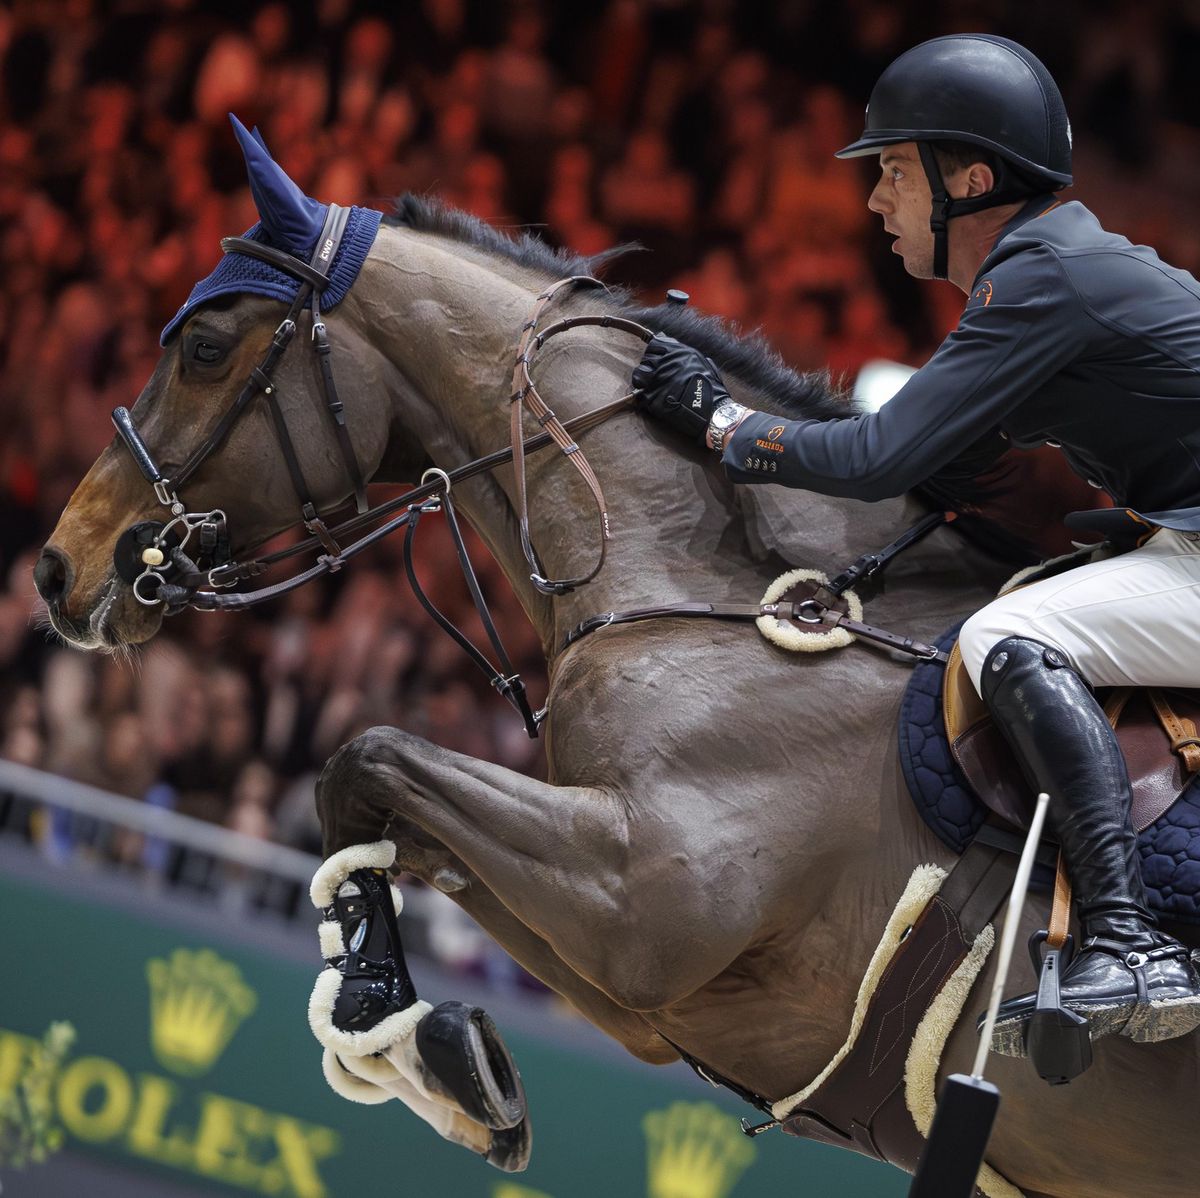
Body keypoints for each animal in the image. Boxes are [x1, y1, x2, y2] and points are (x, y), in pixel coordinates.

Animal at [35, 153, 1200, 1196]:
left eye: (205, 348)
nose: (59, 569)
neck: (728, 590)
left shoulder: (644, 900)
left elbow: (367, 756)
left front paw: (381, 1021)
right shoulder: (641, 986)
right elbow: (383, 810)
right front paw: (424, 1045)